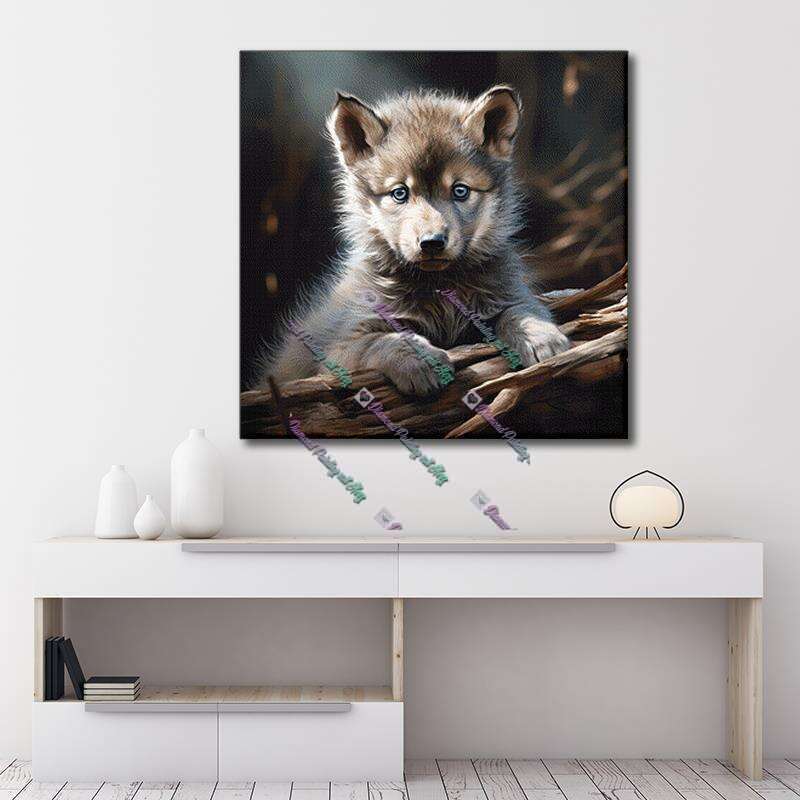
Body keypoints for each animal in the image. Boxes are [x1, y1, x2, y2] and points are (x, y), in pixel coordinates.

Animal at [256, 84, 570, 397]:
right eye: (400, 193)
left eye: (460, 190)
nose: (432, 242)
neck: (438, 289)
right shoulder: (338, 349)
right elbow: (379, 341)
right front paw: (418, 357)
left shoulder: (508, 294)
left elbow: (520, 309)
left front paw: (540, 336)